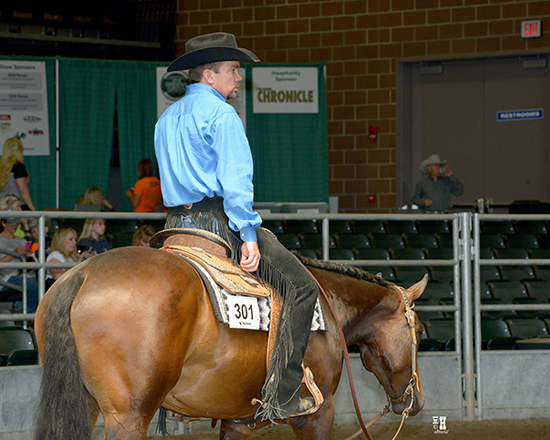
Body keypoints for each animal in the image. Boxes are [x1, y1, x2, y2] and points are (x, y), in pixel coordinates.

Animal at [34, 248, 430, 440]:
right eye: (421, 331)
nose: (416, 401)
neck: (326, 302)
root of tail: (84, 275)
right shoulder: (317, 415)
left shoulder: (238, 423)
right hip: (128, 417)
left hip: (82, 403)